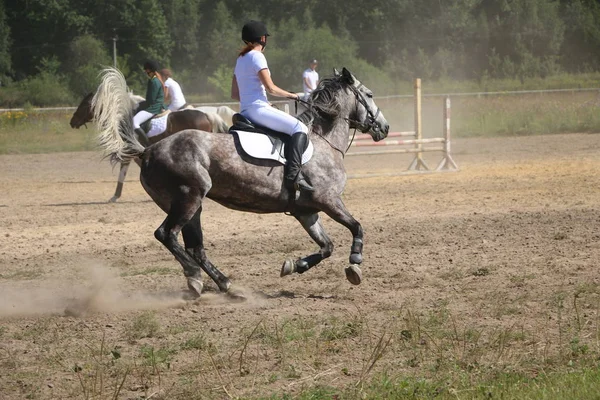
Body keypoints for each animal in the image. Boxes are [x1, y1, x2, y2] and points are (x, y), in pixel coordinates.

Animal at [94, 66, 390, 296]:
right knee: (167, 235)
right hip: (189, 198)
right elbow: (357, 227)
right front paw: (355, 263)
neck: (323, 141)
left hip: (190, 205)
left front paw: (293, 266)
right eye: (369, 95)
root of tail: (147, 151)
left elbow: (326, 246)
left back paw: (222, 283)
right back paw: (196, 276)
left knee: (195, 247)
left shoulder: (306, 212)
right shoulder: (328, 201)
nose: (385, 128)